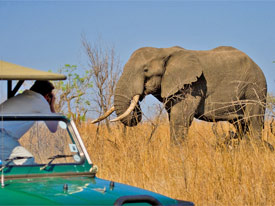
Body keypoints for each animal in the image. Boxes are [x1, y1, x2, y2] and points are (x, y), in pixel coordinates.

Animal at [92, 46, 270, 146]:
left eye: (145, 70)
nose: (139, 96)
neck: (163, 51)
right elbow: (174, 118)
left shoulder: (193, 86)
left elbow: (180, 119)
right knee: (241, 125)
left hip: (255, 87)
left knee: (253, 122)